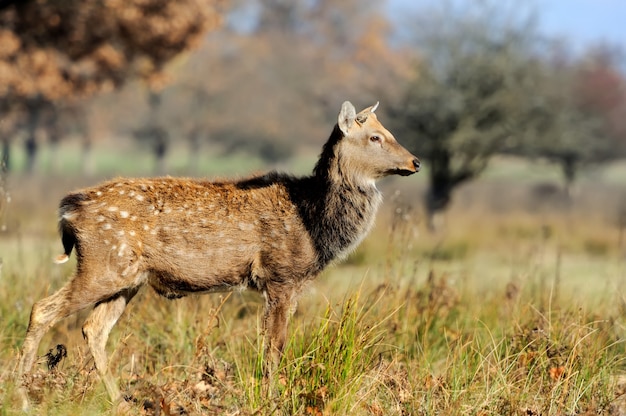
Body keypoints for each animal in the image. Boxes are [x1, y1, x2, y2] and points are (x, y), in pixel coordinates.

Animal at [15, 100, 420, 406]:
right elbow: (274, 346)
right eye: (375, 136)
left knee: (93, 329)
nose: (415, 161)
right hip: (102, 265)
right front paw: (271, 399)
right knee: (42, 309)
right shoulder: (281, 275)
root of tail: (68, 210)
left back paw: (119, 401)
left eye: (389, 132)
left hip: (126, 278)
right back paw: (23, 393)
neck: (313, 222)